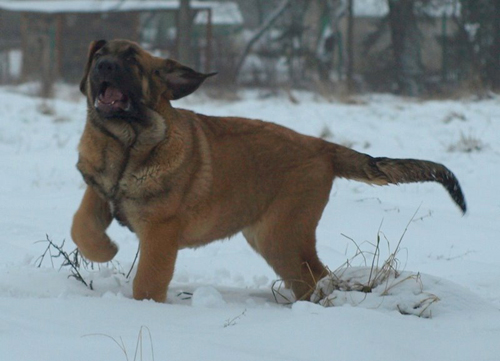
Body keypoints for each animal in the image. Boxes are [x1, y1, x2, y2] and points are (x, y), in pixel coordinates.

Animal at [72, 39, 466, 300]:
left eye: (131, 60)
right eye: (100, 54)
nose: (103, 67)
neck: (125, 145)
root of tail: (322, 147)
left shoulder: (160, 233)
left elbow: (148, 282)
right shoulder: (97, 191)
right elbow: (81, 228)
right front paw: (105, 250)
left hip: (282, 235)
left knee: (316, 278)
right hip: (271, 236)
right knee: (314, 279)